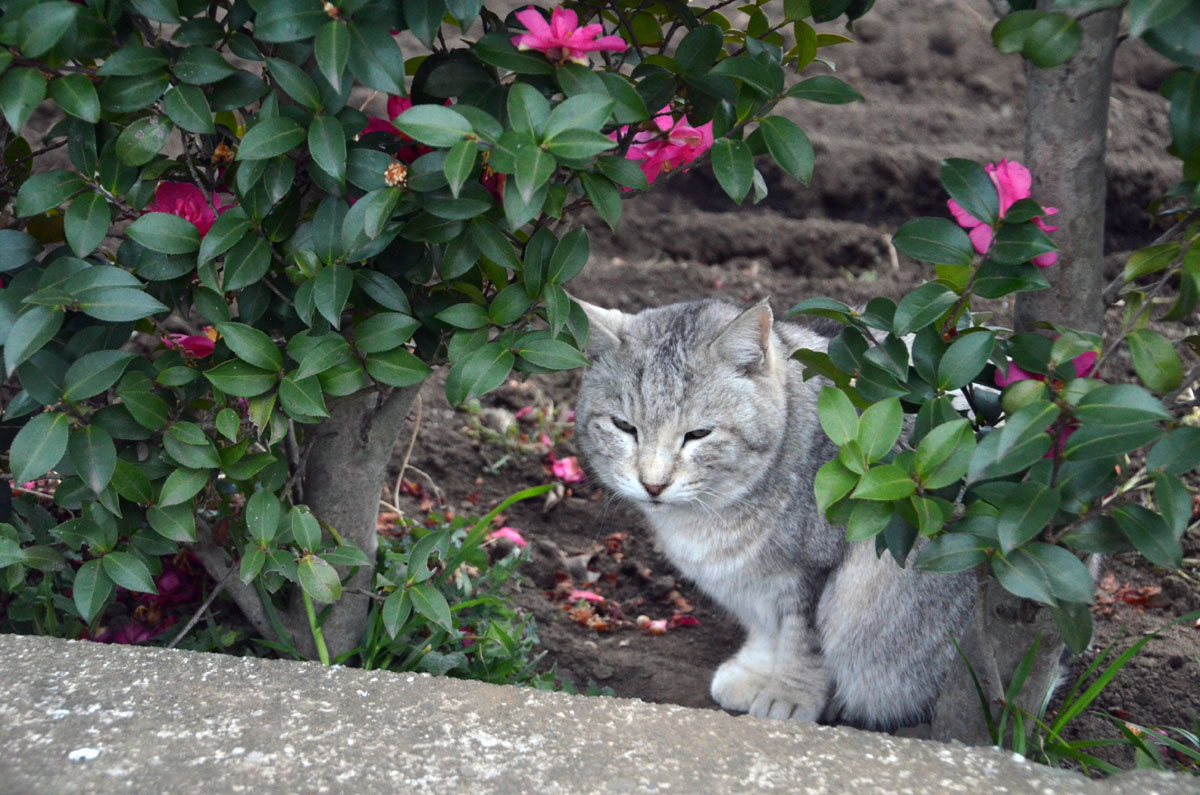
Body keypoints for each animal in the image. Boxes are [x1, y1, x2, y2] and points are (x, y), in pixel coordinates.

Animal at [571, 300, 974, 734]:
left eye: (698, 434)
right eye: (624, 426)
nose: (653, 484)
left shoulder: (818, 570)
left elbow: (807, 643)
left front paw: (790, 693)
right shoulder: (756, 584)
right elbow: (765, 628)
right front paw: (755, 671)